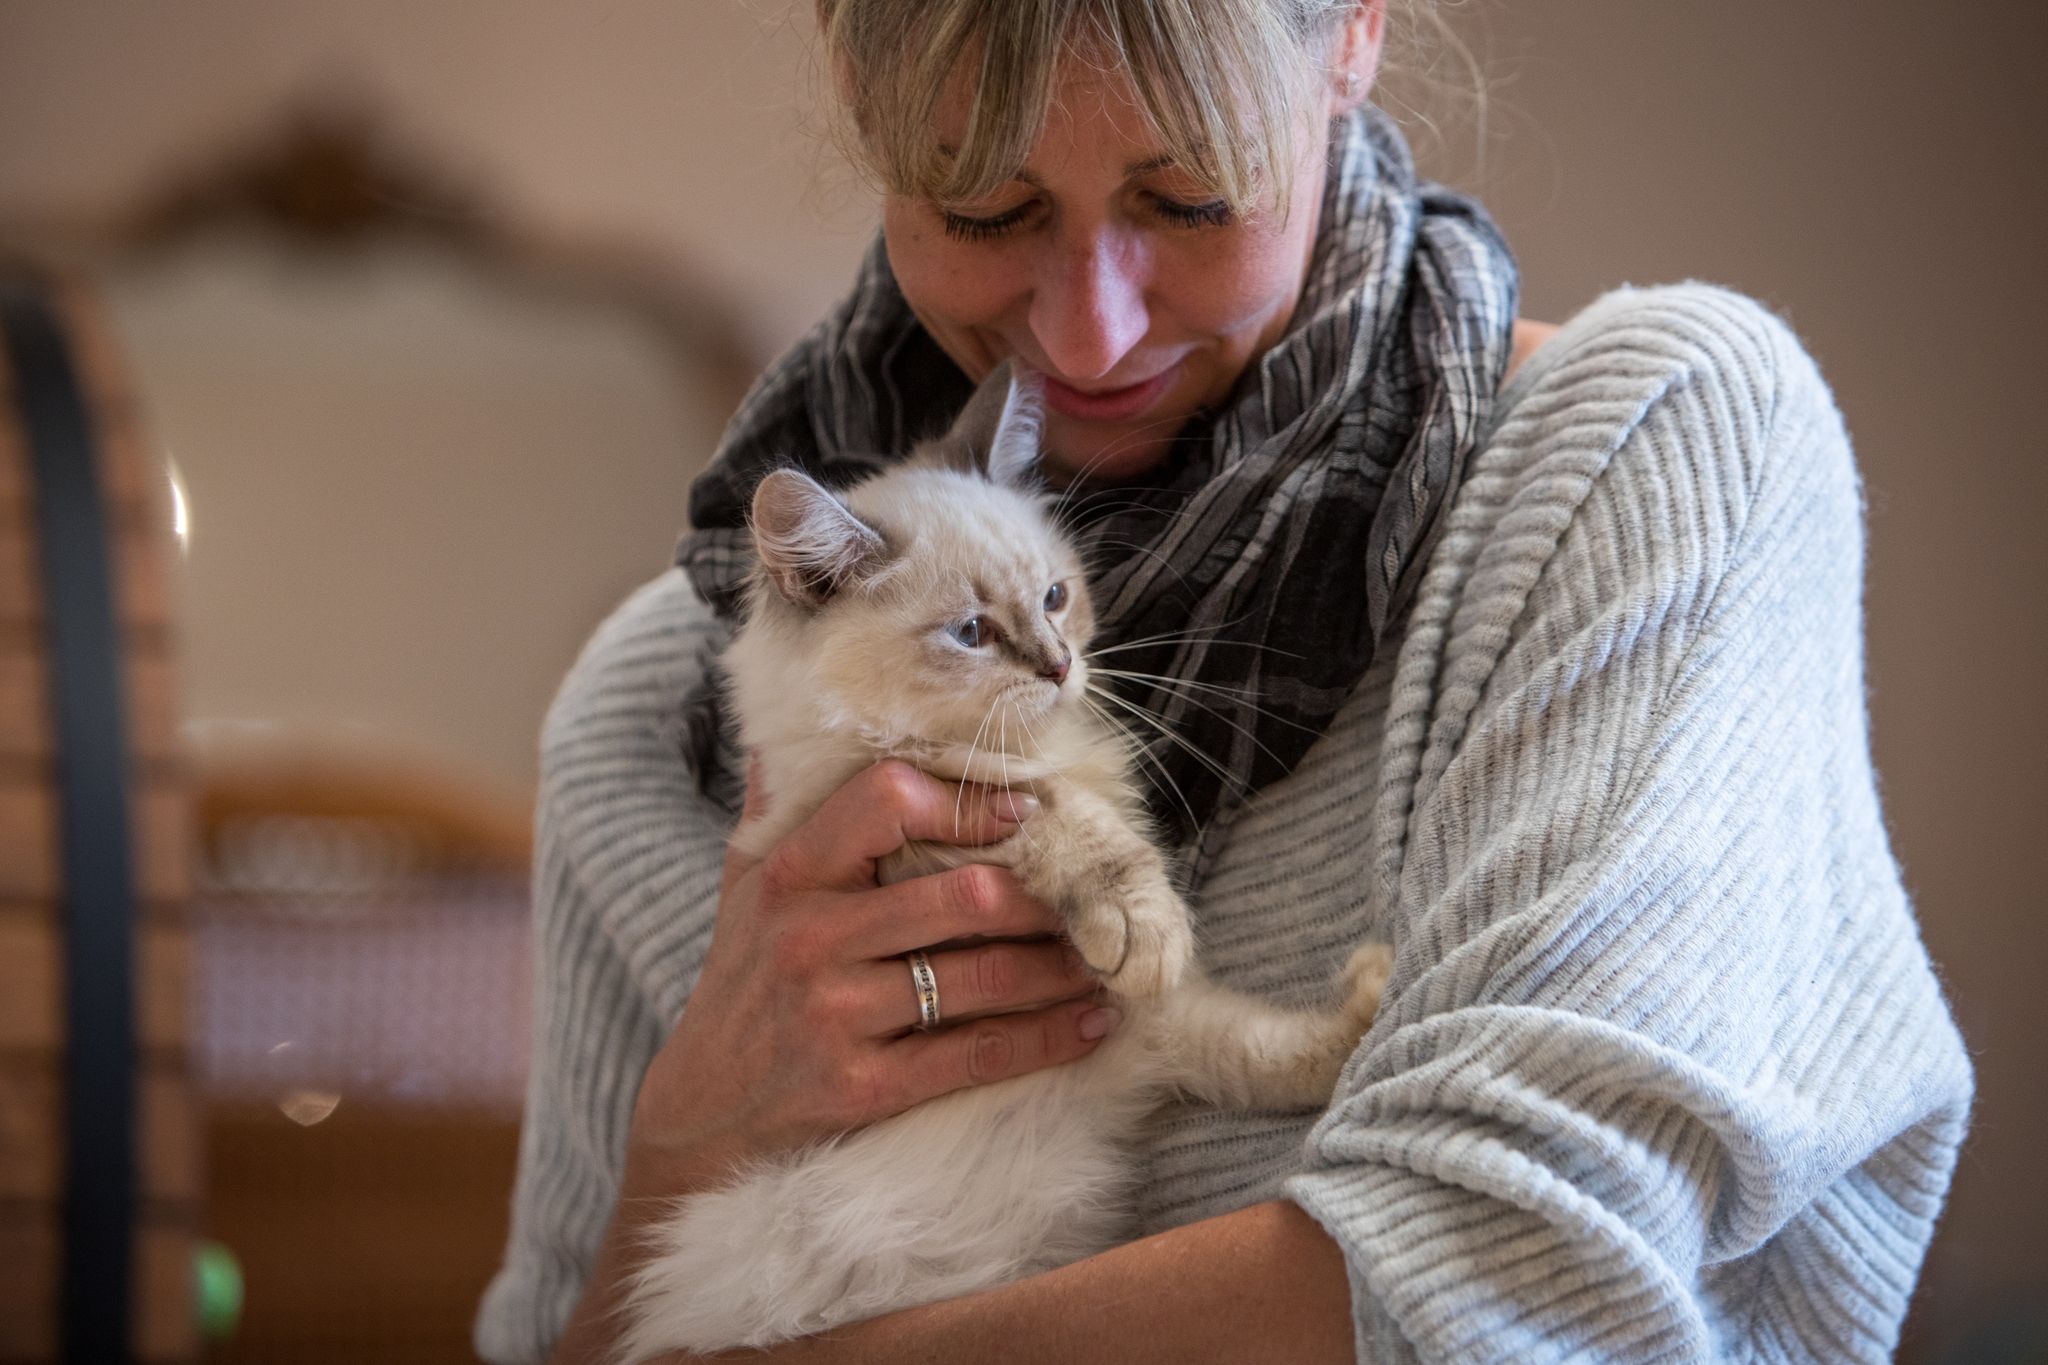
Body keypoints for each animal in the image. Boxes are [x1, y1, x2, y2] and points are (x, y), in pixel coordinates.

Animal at [618, 362, 1392, 1365]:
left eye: (1057, 598)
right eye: (972, 634)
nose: (1060, 667)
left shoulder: (1143, 1023)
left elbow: (1249, 1040)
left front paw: (1161, 941)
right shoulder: (921, 817)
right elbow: (1064, 826)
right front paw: (1142, 926)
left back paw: (1374, 992)